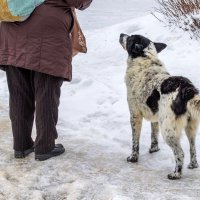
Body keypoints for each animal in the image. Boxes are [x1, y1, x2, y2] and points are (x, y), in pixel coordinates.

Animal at [119, 33, 200, 180]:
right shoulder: (155, 116)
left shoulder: (135, 115)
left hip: (168, 130)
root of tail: (187, 89)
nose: (121, 34)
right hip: (190, 127)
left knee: (180, 153)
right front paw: (154, 149)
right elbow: (153, 134)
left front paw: (133, 158)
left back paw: (176, 174)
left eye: (130, 38)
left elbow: (135, 141)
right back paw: (193, 165)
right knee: (193, 148)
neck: (145, 60)